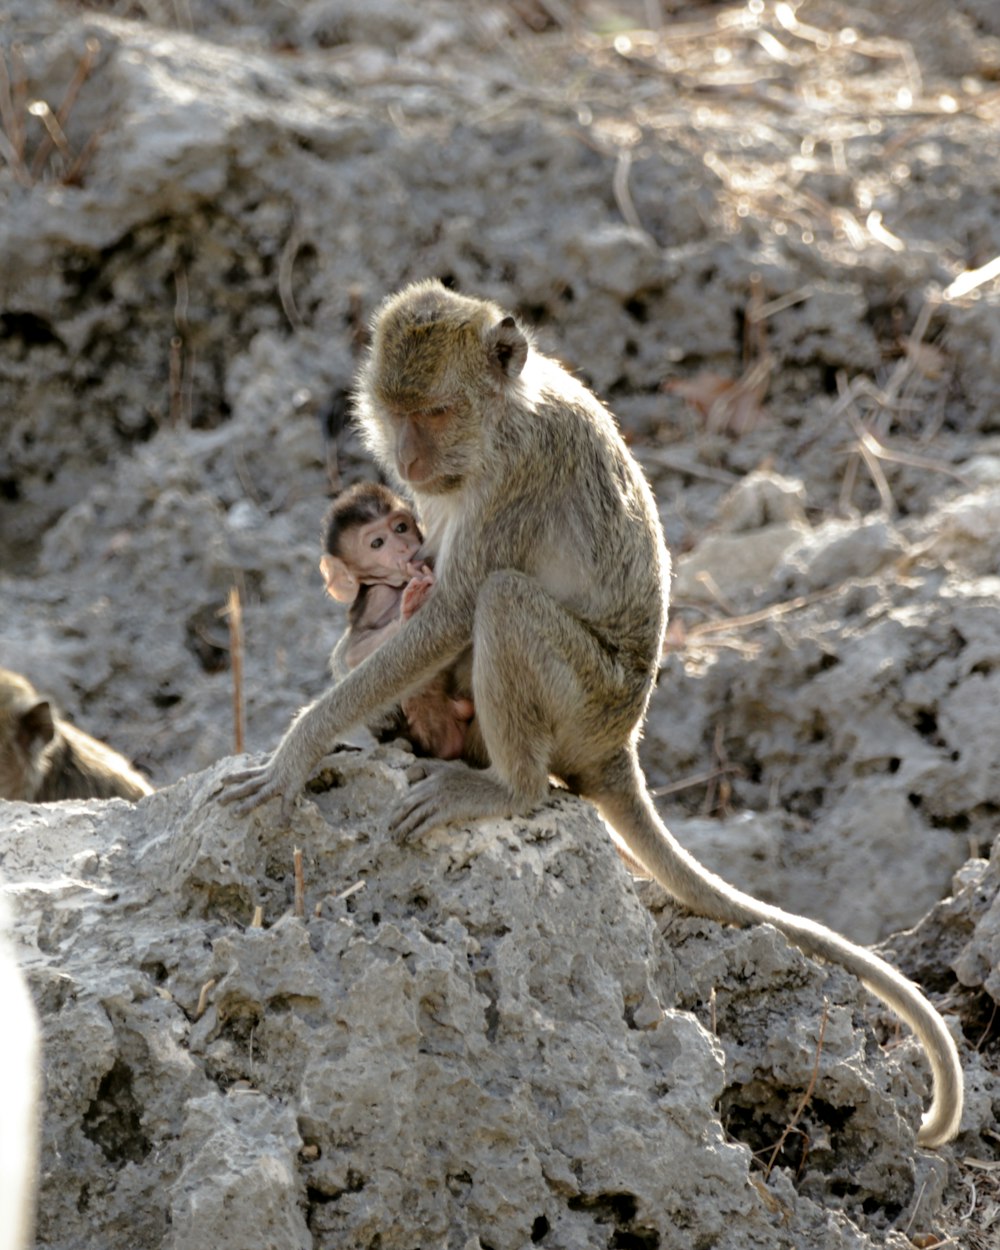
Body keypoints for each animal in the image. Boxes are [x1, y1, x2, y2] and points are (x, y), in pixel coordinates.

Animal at [320, 480, 477, 760]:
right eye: (377, 543)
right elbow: (356, 650)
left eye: (401, 527)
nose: (403, 546)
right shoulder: (377, 596)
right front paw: (410, 609)